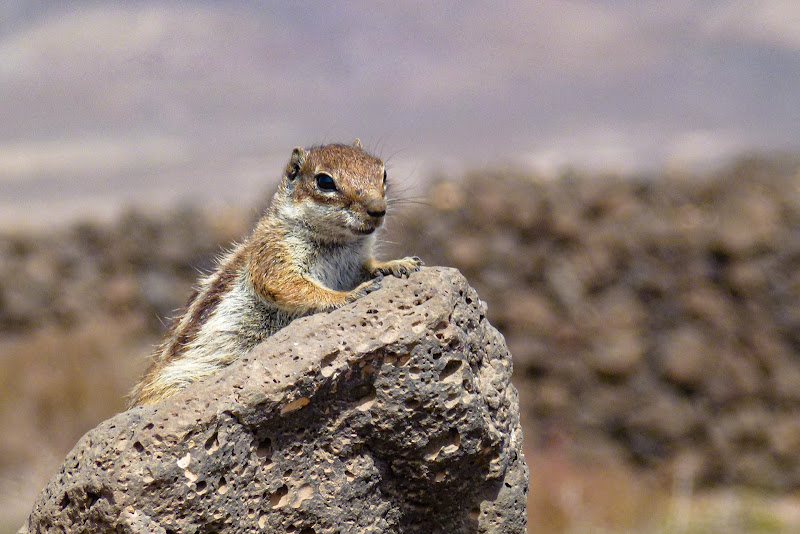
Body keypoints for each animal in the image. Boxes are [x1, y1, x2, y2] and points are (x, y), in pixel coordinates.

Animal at [128, 140, 422, 408]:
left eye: (383, 173)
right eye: (325, 181)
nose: (378, 210)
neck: (339, 244)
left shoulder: (355, 262)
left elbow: (368, 266)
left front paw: (396, 263)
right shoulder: (272, 254)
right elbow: (287, 285)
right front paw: (348, 295)